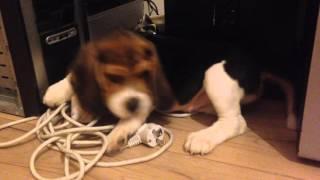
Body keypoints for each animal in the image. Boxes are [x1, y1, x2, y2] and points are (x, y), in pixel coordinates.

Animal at [42, 29, 296, 155]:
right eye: (114, 78)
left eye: (146, 75)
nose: (133, 102)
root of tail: (257, 64)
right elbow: (73, 78)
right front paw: (63, 94)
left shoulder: (146, 98)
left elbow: (133, 117)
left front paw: (118, 133)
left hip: (215, 74)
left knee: (236, 122)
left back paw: (202, 139)